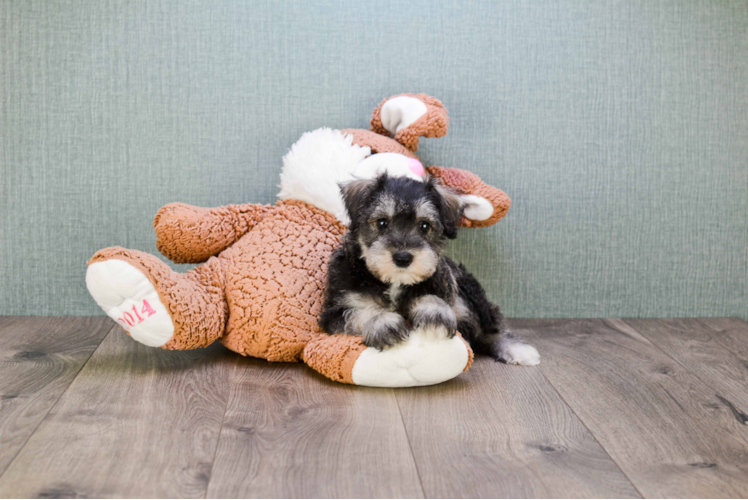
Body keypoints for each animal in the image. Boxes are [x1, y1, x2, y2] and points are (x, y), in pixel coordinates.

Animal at [318, 174, 540, 366]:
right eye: (382, 222)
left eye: (424, 226)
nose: (403, 258)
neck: (395, 282)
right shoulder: (334, 312)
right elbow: (358, 312)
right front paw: (383, 322)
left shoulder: (443, 285)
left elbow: (432, 297)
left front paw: (434, 313)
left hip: (469, 295)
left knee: (490, 326)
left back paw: (518, 349)